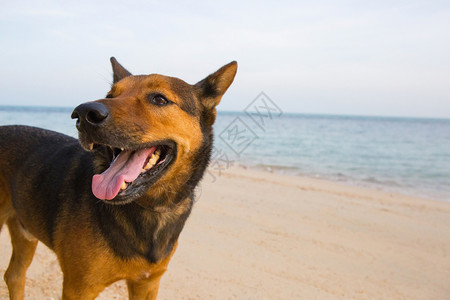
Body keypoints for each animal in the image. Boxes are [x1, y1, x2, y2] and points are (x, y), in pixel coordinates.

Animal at [0, 57, 237, 298]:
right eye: (110, 95)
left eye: (159, 99)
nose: (82, 114)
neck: (151, 208)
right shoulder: (79, 287)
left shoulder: (147, 283)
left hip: (25, 232)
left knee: (14, 275)